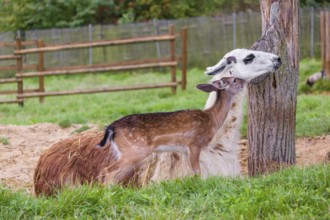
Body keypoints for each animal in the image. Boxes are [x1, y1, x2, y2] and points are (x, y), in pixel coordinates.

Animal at [96, 77, 244, 184]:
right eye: (234, 79)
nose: (243, 81)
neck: (212, 119)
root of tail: (112, 127)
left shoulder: (185, 150)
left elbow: (191, 170)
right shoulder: (194, 143)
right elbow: (197, 170)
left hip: (123, 152)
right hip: (134, 150)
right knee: (107, 170)